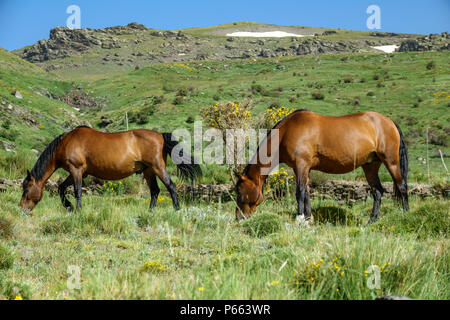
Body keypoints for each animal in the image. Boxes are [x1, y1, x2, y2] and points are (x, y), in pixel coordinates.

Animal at [21, 125, 200, 212]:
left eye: (27, 188)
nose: (22, 209)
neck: (66, 142)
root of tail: (160, 135)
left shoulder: (76, 170)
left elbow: (77, 191)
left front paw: (77, 210)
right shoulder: (78, 173)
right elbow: (61, 188)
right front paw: (69, 206)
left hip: (157, 168)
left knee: (171, 186)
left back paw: (177, 210)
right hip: (148, 171)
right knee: (155, 191)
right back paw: (150, 212)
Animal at [236, 109, 408, 222]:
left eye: (239, 192)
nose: (239, 218)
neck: (286, 132)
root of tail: (390, 122)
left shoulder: (301, 165)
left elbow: (299, 192)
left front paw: (299, 218)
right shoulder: (302, 168)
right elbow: (306, 192)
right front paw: (308, 218)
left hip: (391, 162)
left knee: (402, 187)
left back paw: (406, 214)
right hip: (370, 166)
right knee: (378, 192)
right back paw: (372, 220)